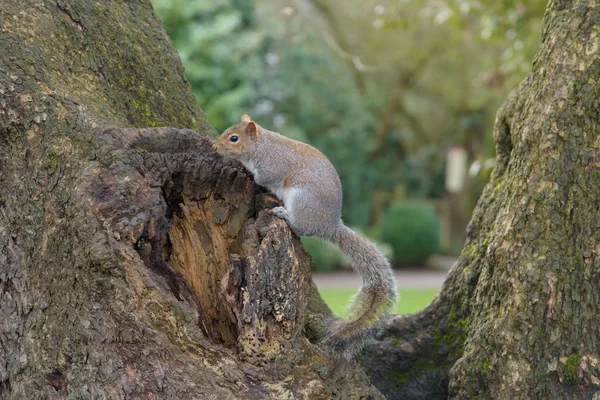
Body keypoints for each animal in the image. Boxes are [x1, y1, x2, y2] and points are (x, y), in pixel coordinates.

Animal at [213, 115, 396, 356]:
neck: (262, 146)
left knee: (299, 227)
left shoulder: (272, 166)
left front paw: (242, 166)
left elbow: (261, 178)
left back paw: (284, 214)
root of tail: (329, 226)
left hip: (301, 199)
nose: (215, 146)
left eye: (234, 138)